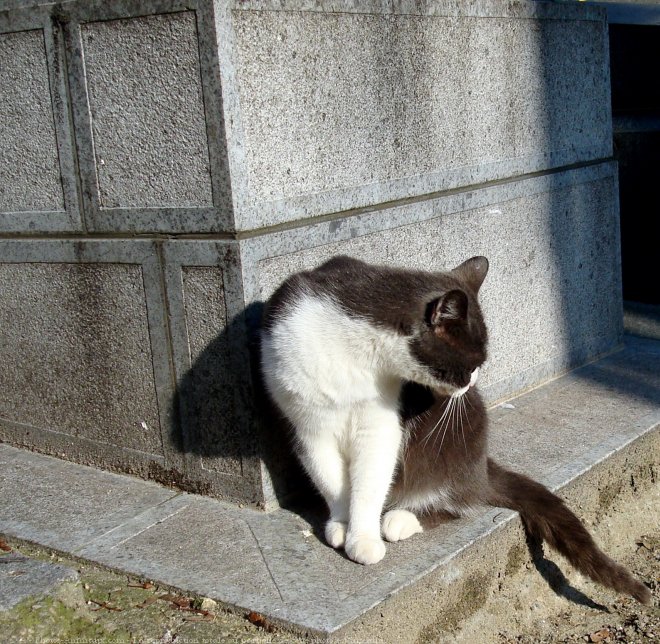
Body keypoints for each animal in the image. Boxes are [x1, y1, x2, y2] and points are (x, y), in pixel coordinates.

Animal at [258, 253, 648, 604]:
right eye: (472, 363)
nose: (472, 382)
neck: (355, 357)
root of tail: (482, 467)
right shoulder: (307, 423)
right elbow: (331, 480)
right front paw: (340, 524)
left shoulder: (379, 425)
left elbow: (369, 482)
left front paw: (363, 539)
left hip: (465, 437)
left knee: (461, 500)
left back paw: (399, 519)